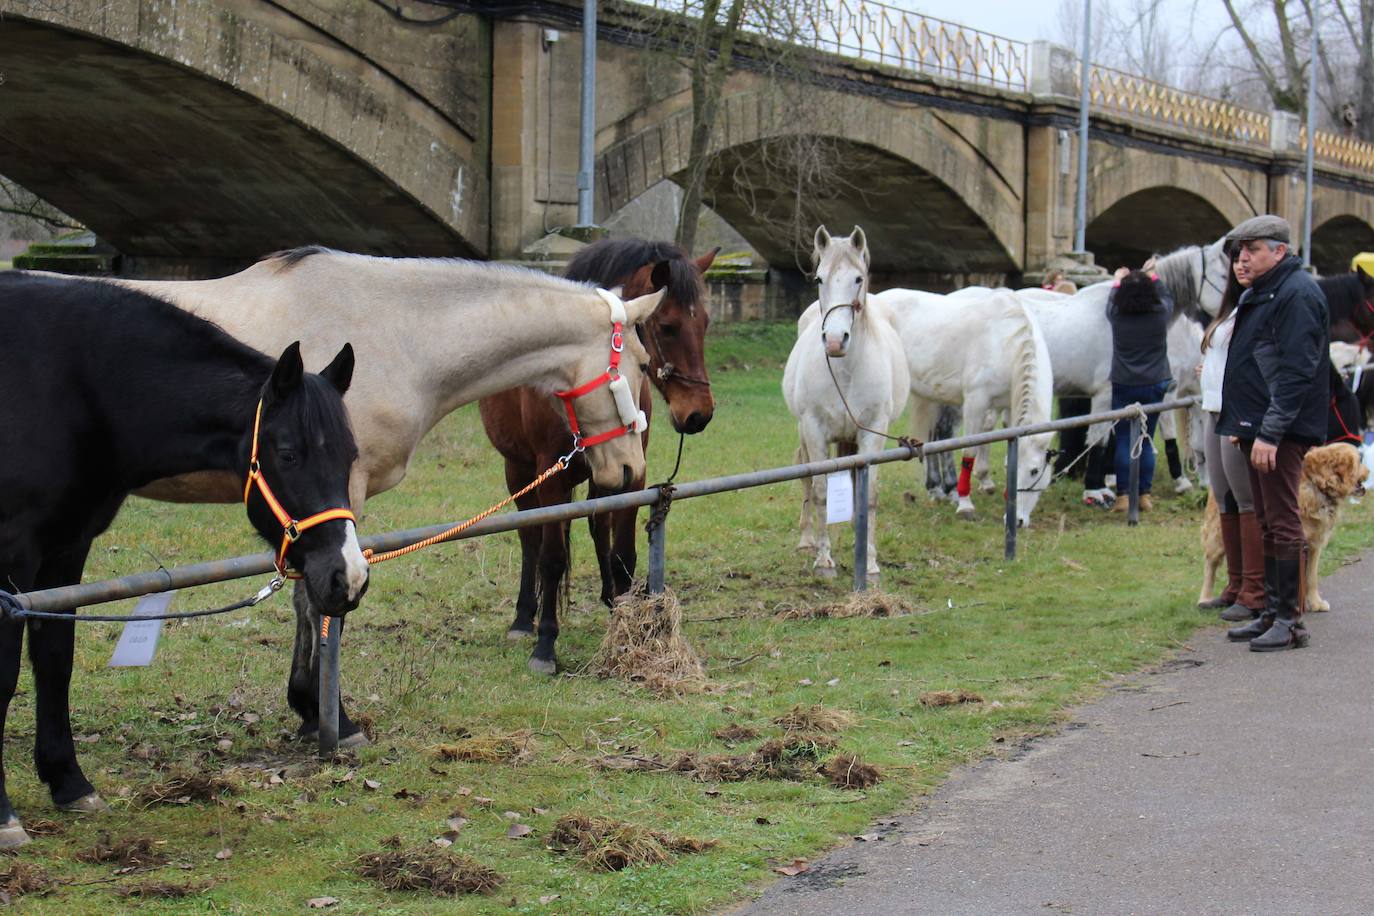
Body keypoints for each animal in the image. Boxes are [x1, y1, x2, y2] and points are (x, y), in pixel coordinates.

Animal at [0, 270, 368, 845]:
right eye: (288, 454)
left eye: (350, 455)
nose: (347, 577)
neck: (69, 384)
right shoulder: (13, 553)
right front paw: (4, 817)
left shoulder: (65, 550)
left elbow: (55, 660)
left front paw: (69, 782)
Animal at [478, 240, 719, 672]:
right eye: (668, 326)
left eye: (705, 323)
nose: (698, 414)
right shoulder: (550, 477)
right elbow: (552, 556)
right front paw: (545, 644)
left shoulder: (632, 472)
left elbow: (622, 552)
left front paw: (624, 618)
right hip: (518, 470)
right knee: (529, 538)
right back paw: (524, 618)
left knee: (596, 525)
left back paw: (608, 596)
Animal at [785, 225, 912, 576]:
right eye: (819, 278)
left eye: (858, 278)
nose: (834, 341)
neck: (846, 371)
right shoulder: (814, 429)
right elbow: (820, 490)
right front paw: (824, 559)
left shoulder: (871, 431)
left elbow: (867, 495)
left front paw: (869, 560)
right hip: (805, 432)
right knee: (805, 474)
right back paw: (807, 539)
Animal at [1198, 442, 1368, 612]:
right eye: (1360, 460)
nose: (1369, 471)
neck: (1317, 483)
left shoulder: (1314, 545)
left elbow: (1311, 578)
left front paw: (1315, 603)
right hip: (1217, 535)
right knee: (1210, 564)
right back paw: (1205, 599)